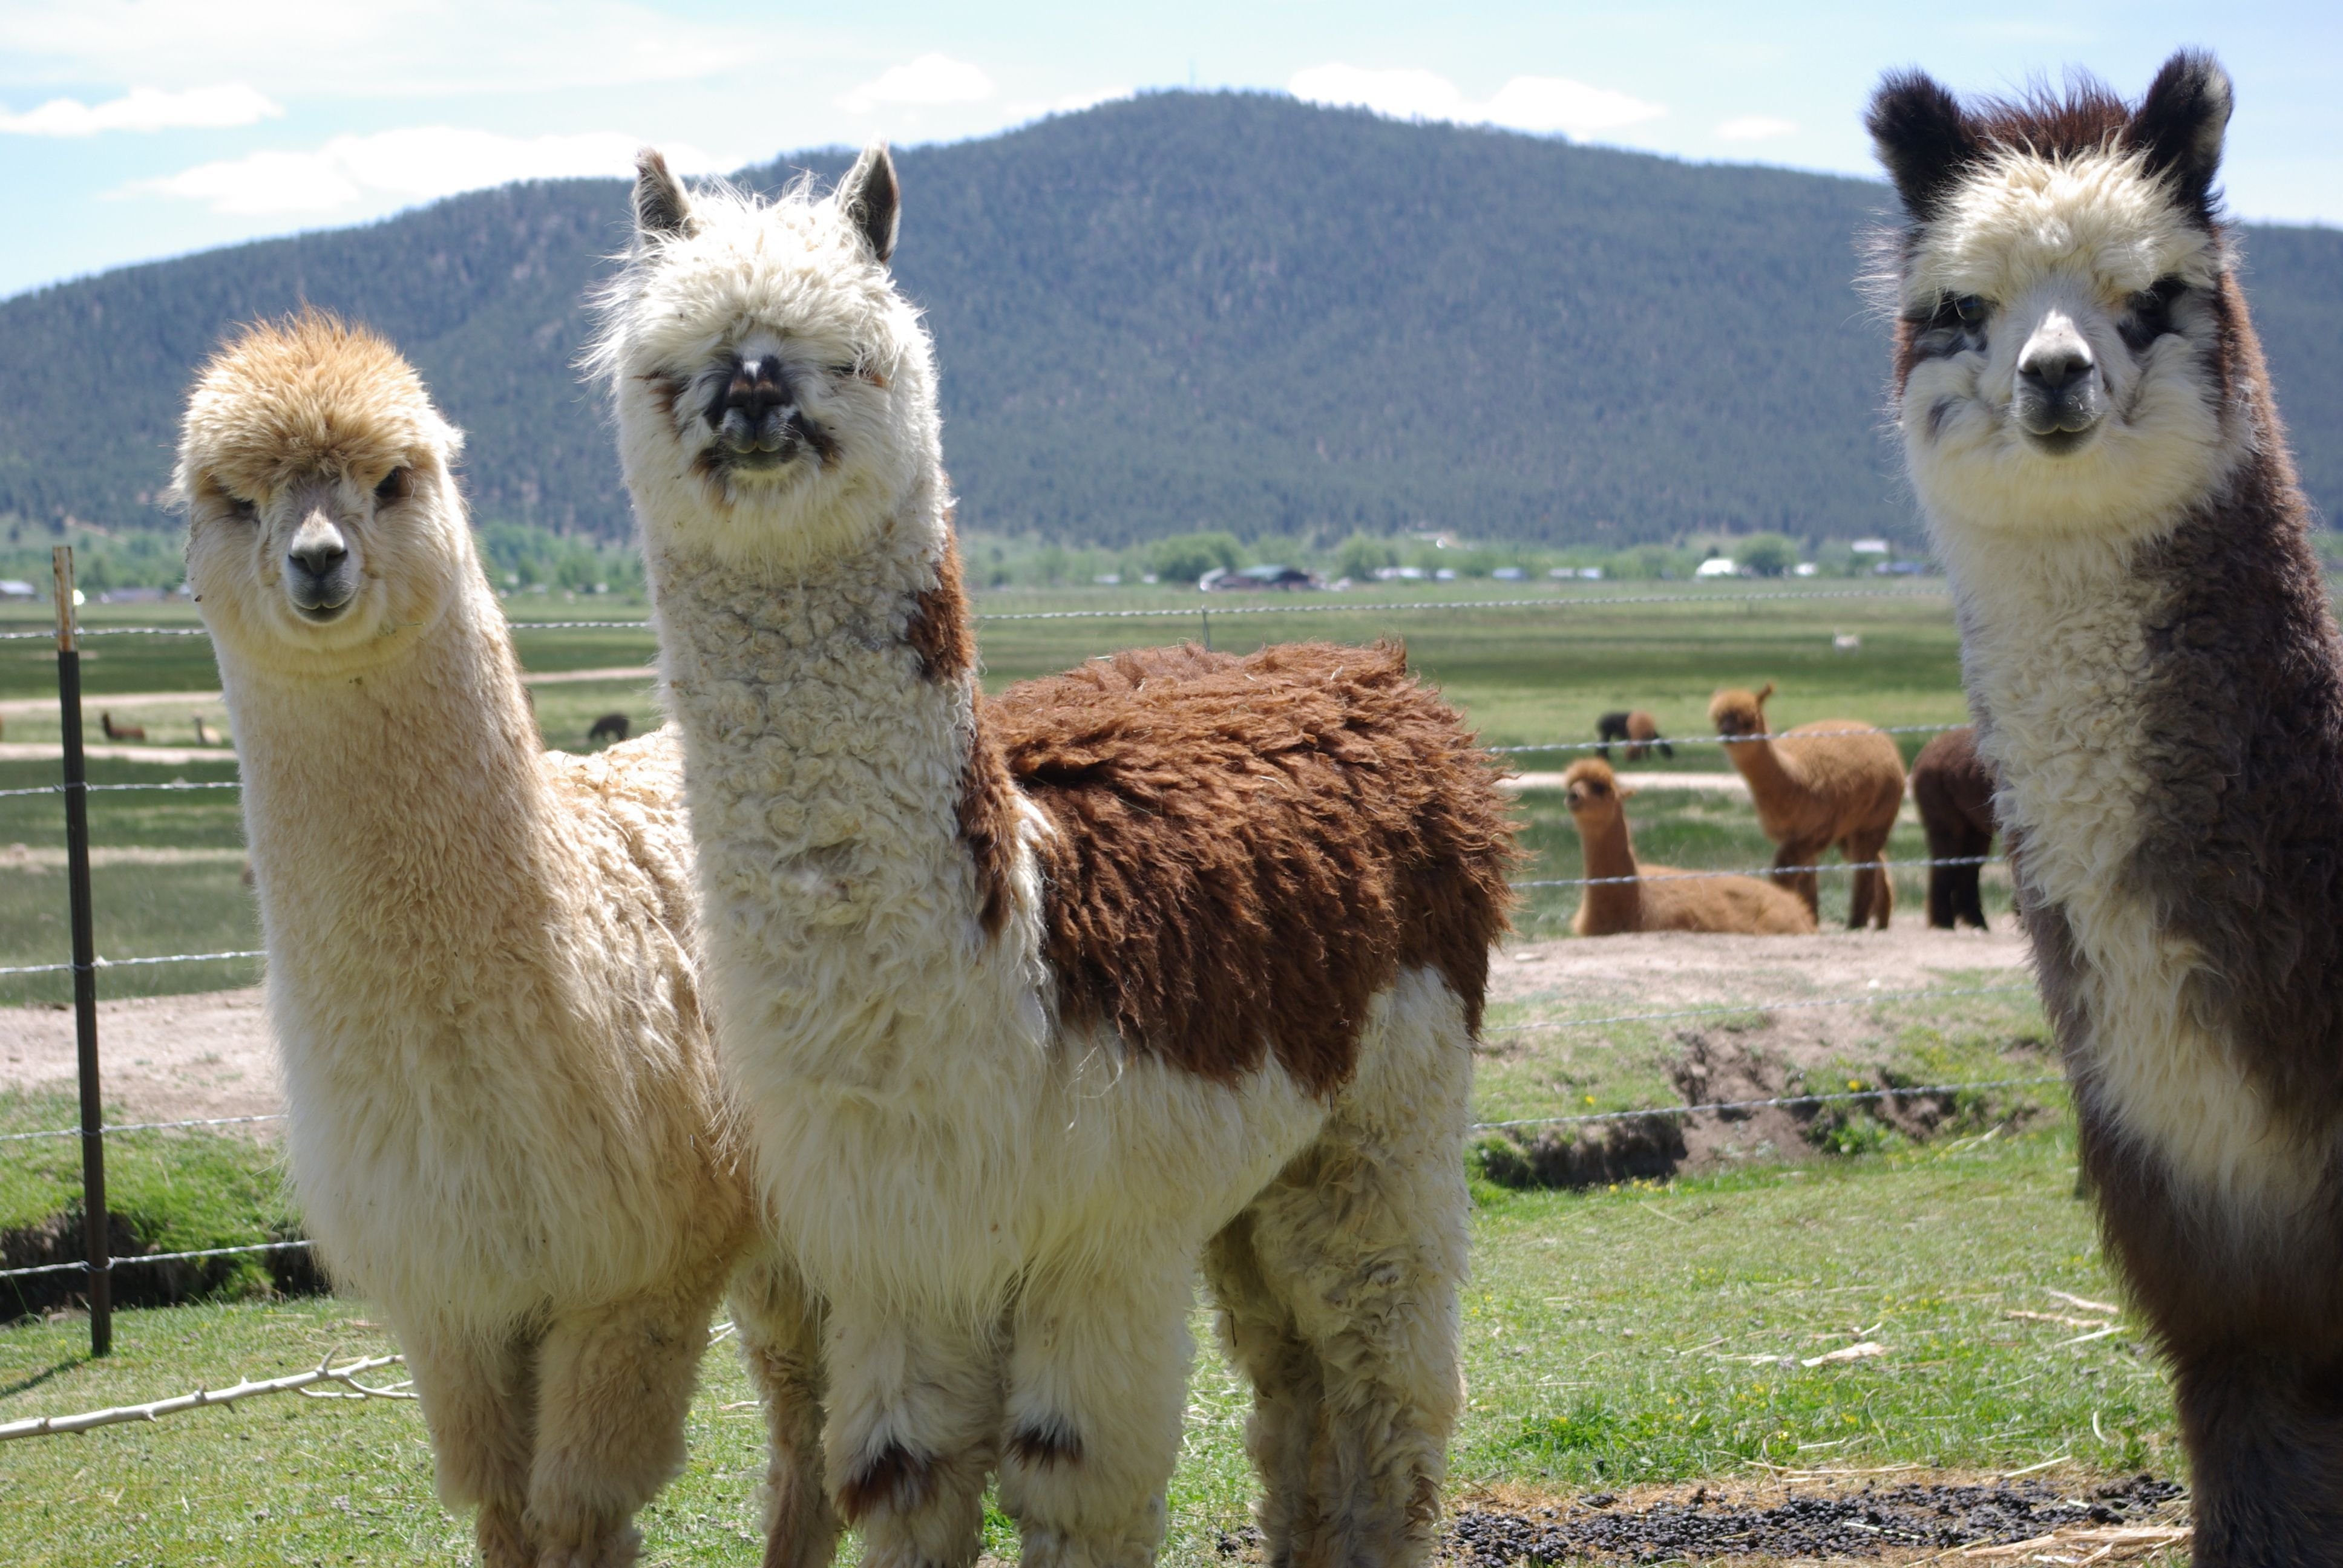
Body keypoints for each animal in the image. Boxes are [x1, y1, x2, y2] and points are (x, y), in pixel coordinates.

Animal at [174, 312, 831, 1568]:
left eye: (395, 477)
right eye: (235, 500)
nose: (318, 560)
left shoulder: (633, 1271)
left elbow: (578, 1510)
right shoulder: (456, 1295)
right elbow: (501, 1509)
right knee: (802, 1395)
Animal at [590, 147, 1517, 1568]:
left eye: (847, 355)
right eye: (670, 362)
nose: (749, 396)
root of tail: (1369, 671)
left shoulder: (1101, 1237)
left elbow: (1079, 1485)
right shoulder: (898, 1255)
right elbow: (903, 1478)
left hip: (1390, 1107)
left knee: (1385, 1366)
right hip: (1260, 1163)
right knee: (1292, 1376)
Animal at [1707, 683, 1904, 928]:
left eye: (1748, 721)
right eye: (1718, 719)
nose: (1728, 734)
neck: (1796, 779)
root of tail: (1879, 734)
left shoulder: (1815, 831)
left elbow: (1784, 871)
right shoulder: (1797, 833)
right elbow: (1805, 879)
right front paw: (1810, 918)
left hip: (1876, 817)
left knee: (1865, 862)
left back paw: (1857, 922)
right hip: (1849, 828)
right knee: (1875, 859)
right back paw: (1881, 920)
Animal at [1908, 726, 1996, 930]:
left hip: (1974, 824)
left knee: (1968, 865)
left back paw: (1975, 922)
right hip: (1941, 808)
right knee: (1946, 861)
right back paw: (1944, 923)